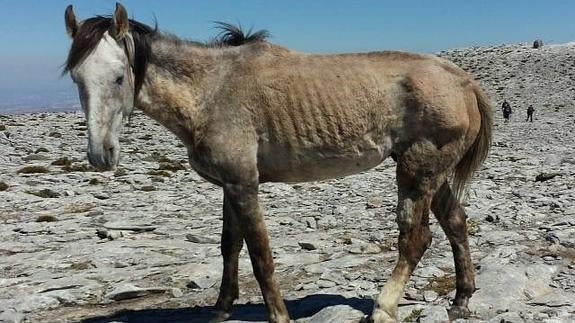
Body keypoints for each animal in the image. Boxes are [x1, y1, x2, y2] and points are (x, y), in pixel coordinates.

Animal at [64, 3, 496, 323]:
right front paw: (222, 309)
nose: (100, 155)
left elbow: (259, 253)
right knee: (456, 223)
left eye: (119, 77)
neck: (210, 91)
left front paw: (278, 314)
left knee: (415, 238)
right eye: (76, 78)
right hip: (432, 173)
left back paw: (383, 307)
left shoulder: (245, 184)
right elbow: (230, 246)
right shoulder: (230, 185)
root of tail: (464, 82)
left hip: (416, 172)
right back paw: (461, 300)